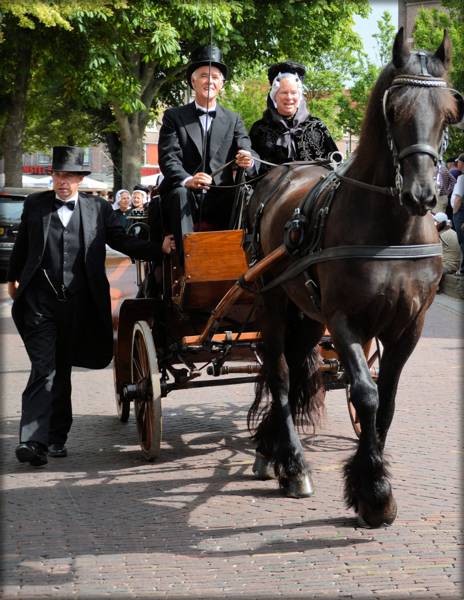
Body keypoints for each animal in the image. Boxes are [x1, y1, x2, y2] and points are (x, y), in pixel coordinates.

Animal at [248, 29, 462, 524]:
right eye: (395, 109)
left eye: (449, 112)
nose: (423, 194)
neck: (390, 231)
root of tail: (281, 174)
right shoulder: (346, 321)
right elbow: (365, 394)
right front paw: (374, 491)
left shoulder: (409, 326)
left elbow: (387, 400)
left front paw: (374, 482)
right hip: (273, 304)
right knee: (279, 373)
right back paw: (293, 464)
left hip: (306, 316)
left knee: (294, 367)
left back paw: (271, 450)